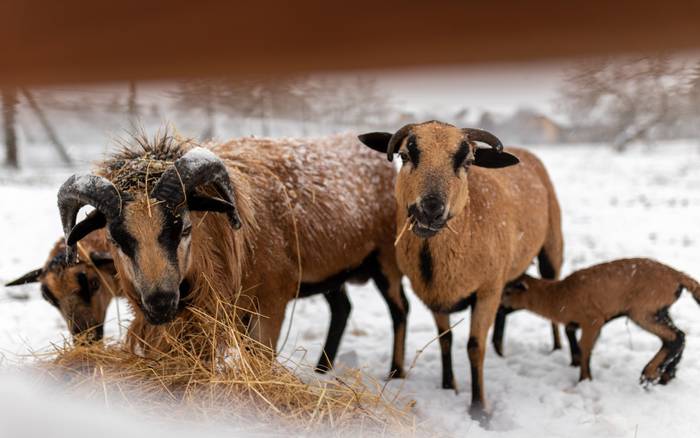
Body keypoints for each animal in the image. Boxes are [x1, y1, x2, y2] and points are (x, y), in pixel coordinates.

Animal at [358, 120, 568, 420]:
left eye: (467, 162)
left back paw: (559, 348)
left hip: (552, 246)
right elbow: (445, 339)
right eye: (405, 156)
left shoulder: (486, 290)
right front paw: (449, 386)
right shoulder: (435, 292)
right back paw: (500, 349)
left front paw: (479, 408)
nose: (430, 209)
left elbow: (474, 347)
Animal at [500, 258, 696, 384]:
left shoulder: (594, 320)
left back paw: (648, 374)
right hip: (660, 310)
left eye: (508, 291)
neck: (558, 296)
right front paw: (575, 363)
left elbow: (585, 346)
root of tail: (678, 276)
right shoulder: (580, 322)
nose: (498, 308)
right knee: (679, 336)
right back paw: (666, 375)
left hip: (643, 311)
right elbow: (571, 334)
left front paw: (584, 380)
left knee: (674, 337)